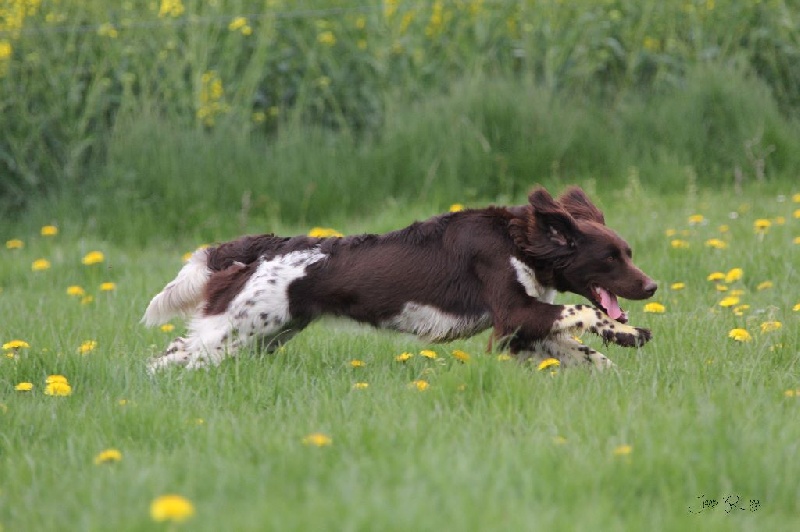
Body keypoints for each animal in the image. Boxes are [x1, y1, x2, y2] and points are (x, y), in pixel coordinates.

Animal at [144, 186, 656, 370]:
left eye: (628, 253)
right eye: (610, 258)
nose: (651, 286)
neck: (519, 241)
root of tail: (261, 247)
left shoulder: (521, 329)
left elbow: (587, 354)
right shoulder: (513, 313)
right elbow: (584, 310)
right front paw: (629, 332)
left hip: (266, 332)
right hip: (241, 328)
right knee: (177, 354)